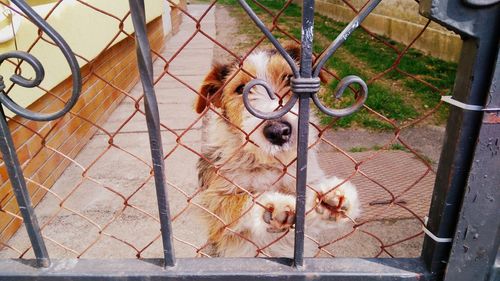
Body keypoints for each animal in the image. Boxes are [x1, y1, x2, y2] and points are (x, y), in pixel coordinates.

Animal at [192, 43, 360, 256]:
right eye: (240, 89)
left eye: (288, 79)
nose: (278, 132)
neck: (266, 160)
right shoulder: (213, 205)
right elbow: (236, 202)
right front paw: (272, 206)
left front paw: (328, 197)